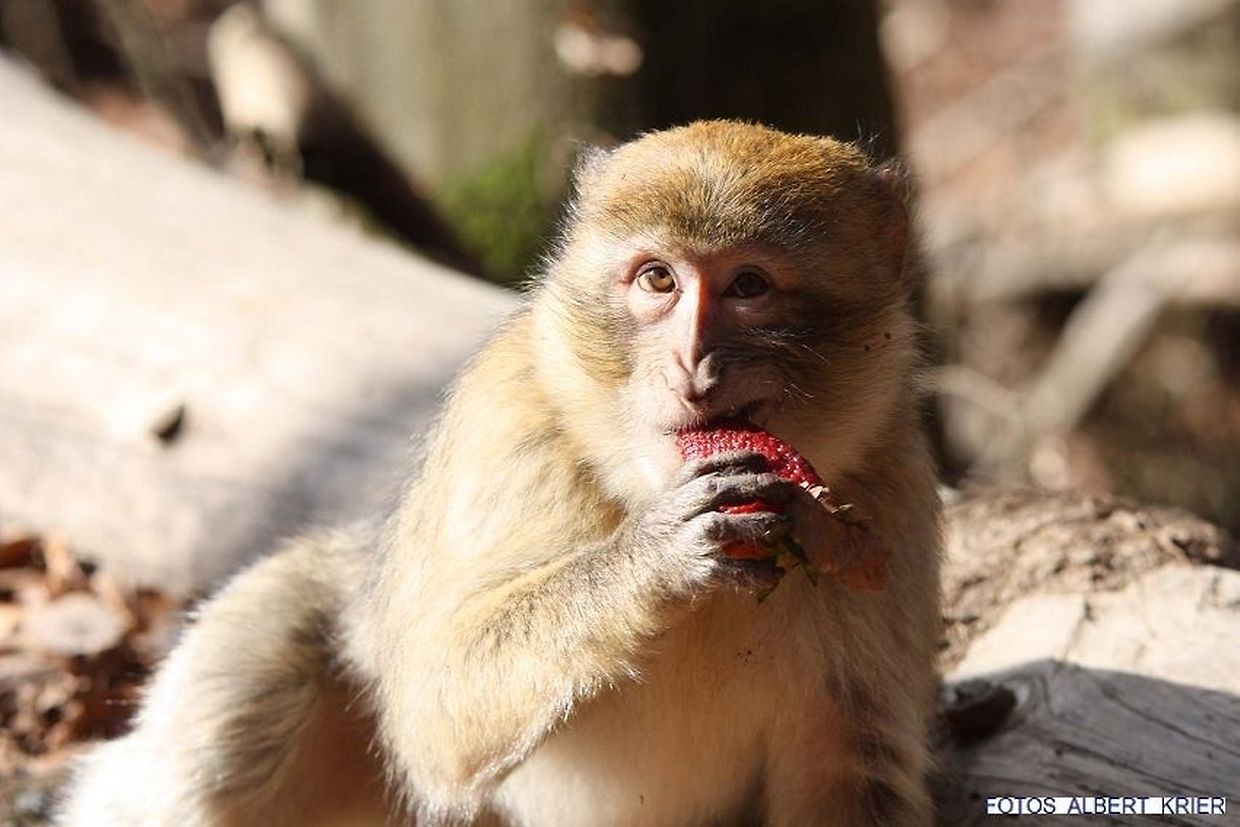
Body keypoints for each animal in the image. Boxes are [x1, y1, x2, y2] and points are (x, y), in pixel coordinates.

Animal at [59, 120, 941, 826]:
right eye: (658, 279)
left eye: (748, 285)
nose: (692, 362)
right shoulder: (509, 420)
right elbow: (432, 702)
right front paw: (658, 556)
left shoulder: (890, 496)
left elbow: (852, 770)